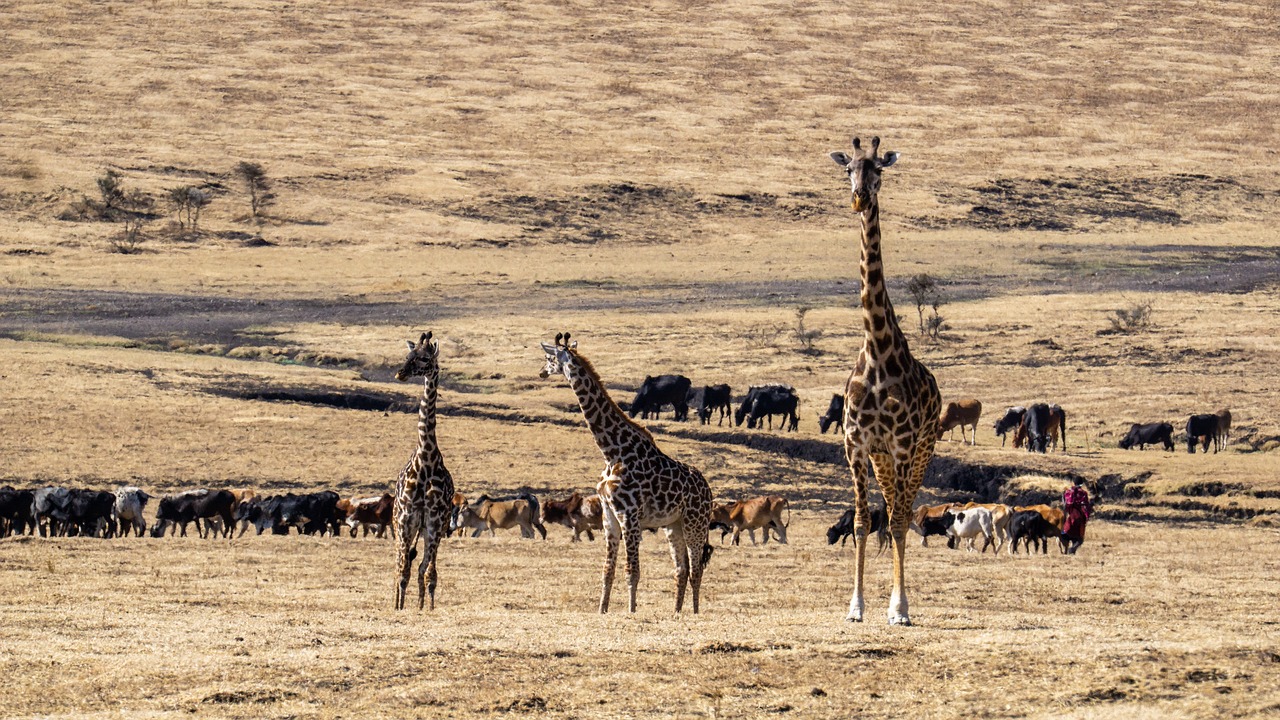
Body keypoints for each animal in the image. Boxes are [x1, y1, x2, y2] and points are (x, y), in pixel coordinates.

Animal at [539, 333, 714, 614]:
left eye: (549, 357)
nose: (542, 372)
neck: (612, 452)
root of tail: (708, 489)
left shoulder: (629, 515)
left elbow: (632, 571)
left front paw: (631, 611)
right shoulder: (609, 515)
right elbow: (607, 570)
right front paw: (602, 609)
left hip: (695, 522)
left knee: (697, 568)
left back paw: (695, 613)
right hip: (673, 525)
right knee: (682, 568)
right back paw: (676, 612)